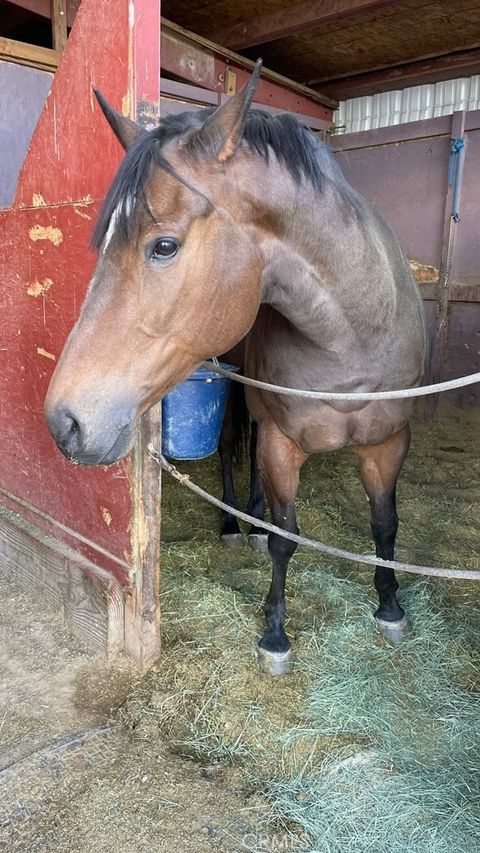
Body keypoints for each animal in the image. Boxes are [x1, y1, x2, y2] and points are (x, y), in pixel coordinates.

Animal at [45, 63, 426, 676]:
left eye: (164, 246)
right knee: (230, 448)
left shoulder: (389, 441)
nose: (64, 423)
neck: (353, 336)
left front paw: (390, 606)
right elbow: (285, 537)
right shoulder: (282, 441)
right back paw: (233, 523)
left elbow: (384, 523)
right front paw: (275, 634)